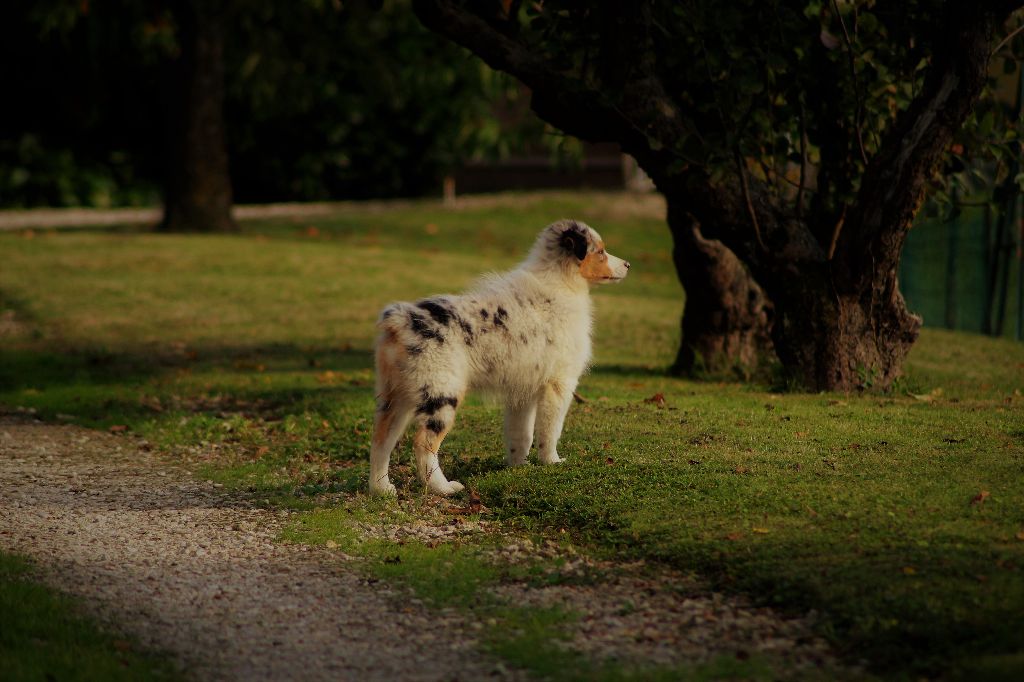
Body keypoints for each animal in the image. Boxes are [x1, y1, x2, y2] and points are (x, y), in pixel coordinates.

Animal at [364, 219, 626, 493]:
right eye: (600, 251)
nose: (628, 265)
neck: (561, 282)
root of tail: (400, 321)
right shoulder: (559, 383)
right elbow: (550, 429)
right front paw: (552, 462)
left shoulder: (524, 389)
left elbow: (521, 433)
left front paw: (518, 466)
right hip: (441, 392)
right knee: (423, 443)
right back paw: (443, 488)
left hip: (396, 395)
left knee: (381, 439)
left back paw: (382, 489)